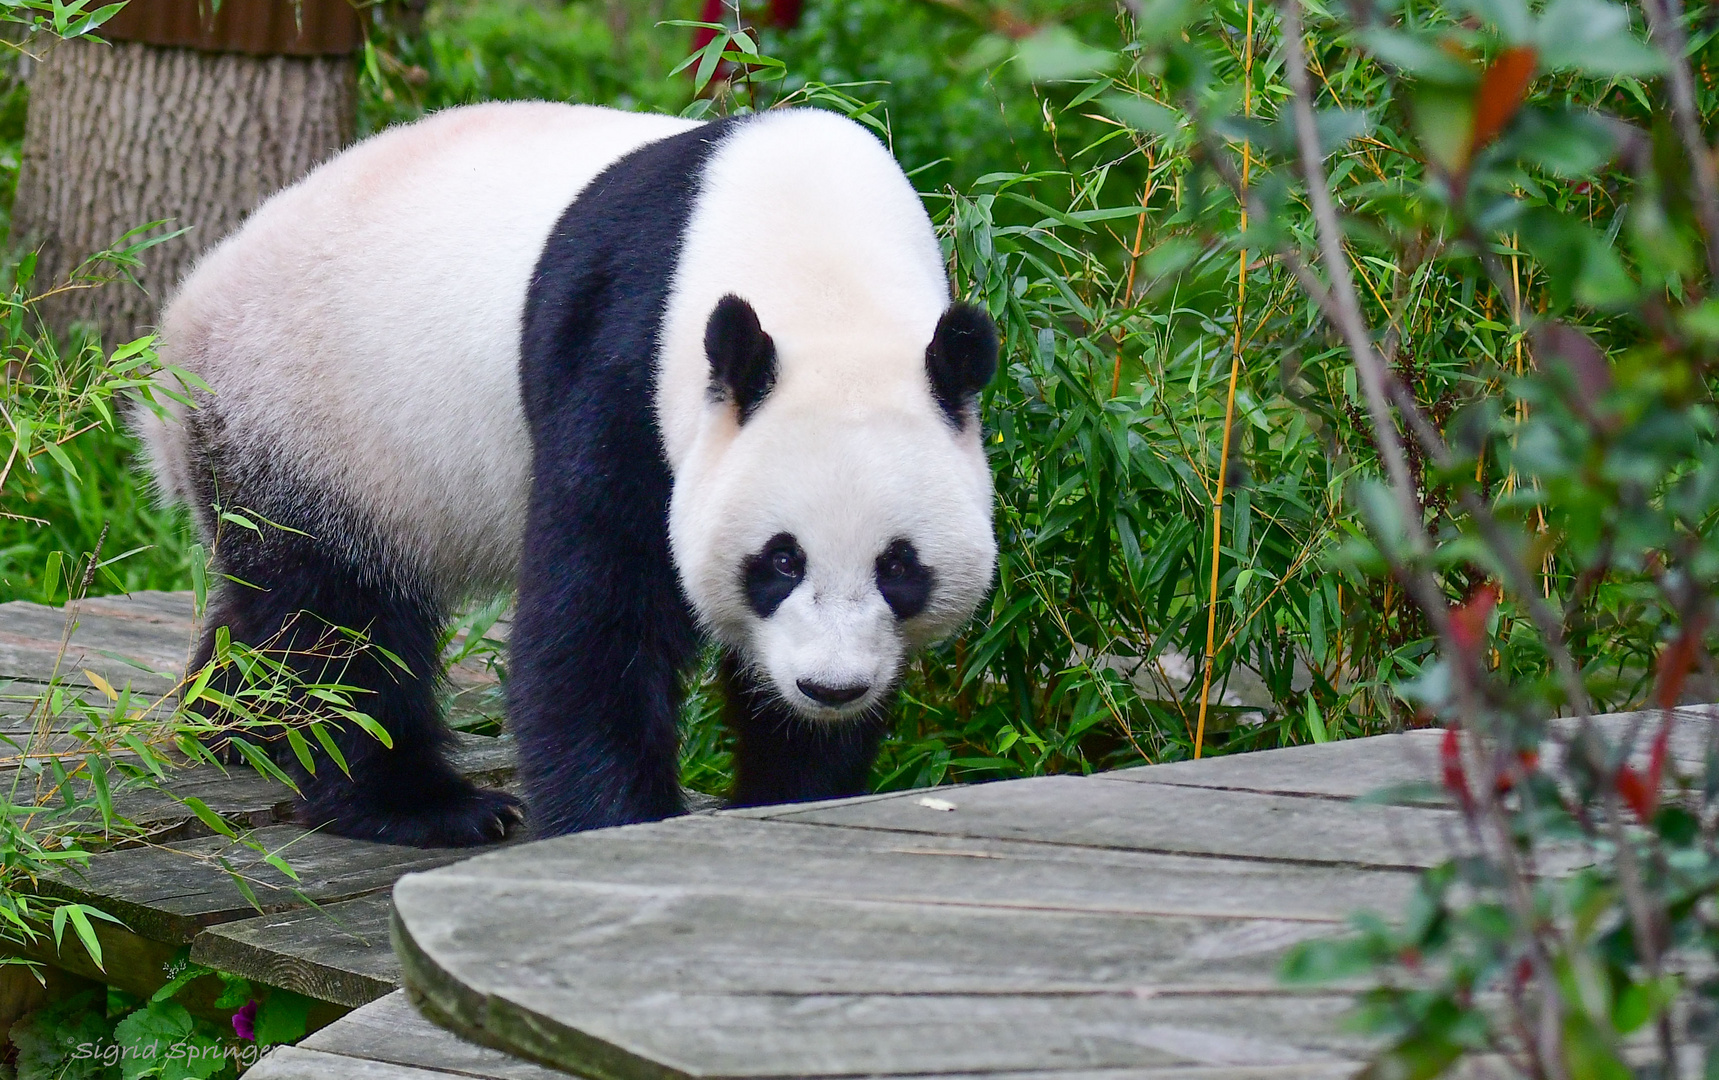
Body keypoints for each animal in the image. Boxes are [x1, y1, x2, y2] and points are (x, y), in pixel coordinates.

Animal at [140, 101, 1003, 849]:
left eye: (900, 568)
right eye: (779, 560)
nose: (829, 688)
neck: (822, 266)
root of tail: (178, 329)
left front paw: (793, 798)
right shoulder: (625, 356)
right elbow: (594, 618)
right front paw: (615, 828)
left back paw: (227, 728)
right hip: (311, 422)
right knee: (337, 627)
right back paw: (419, 802)